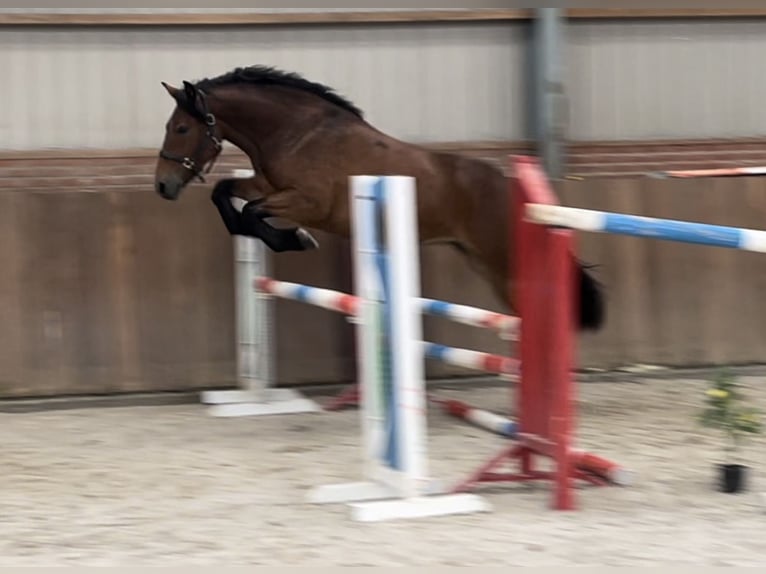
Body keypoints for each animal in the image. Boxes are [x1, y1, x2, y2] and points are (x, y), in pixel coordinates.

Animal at [152, 65, 608, 330]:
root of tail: (518, 193)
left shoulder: (308, 202)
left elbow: (250, 212)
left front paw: (295, 238)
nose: (162, 186)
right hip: (484, 263)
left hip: (506, 265)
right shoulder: (266, 185)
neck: (299, 133)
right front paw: (287, 237)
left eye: (181, 128)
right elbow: (226, 197)